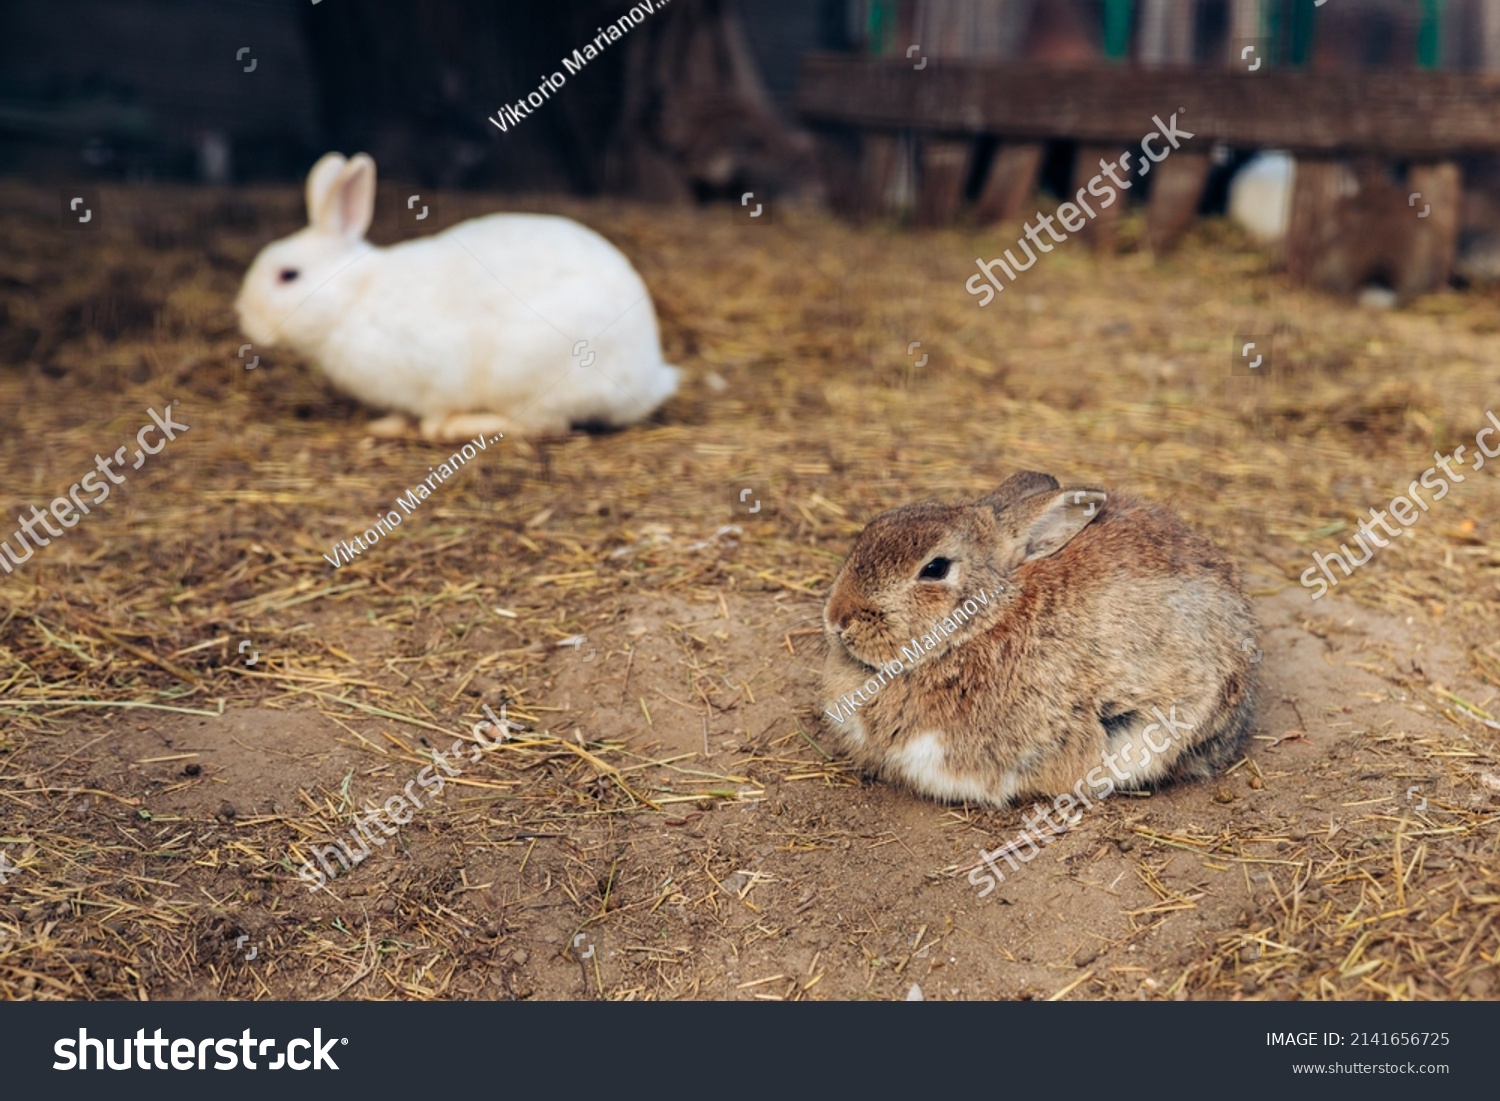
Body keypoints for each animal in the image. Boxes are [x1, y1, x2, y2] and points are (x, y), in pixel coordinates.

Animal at [234, 152, 681, 444]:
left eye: (288, 276)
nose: (243, 316)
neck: (354, 298)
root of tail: (649, 378)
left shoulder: (433, 374)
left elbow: (433, 409)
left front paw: (424, 427)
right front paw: (385, 425)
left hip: (528, 373)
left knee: (546, 426)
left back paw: (462, 427)